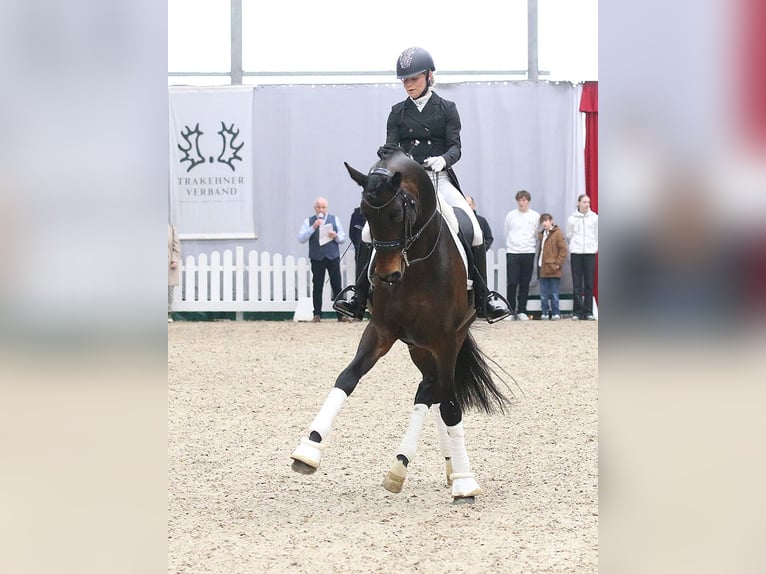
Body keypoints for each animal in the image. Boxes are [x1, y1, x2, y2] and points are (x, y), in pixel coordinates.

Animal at [288, 145, 510, 504]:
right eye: (365, 215)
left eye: (396, 214)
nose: (386, 275)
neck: (417, 264)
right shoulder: (381, 331)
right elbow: (347, 377)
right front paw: (308, 449)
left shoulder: (446, 339)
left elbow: (452, 406)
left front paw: (465, 483)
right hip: (418, 347)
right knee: (429, 389)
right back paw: (409, 467)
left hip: (444, 341)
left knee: (437, 392)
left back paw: (441, 469)